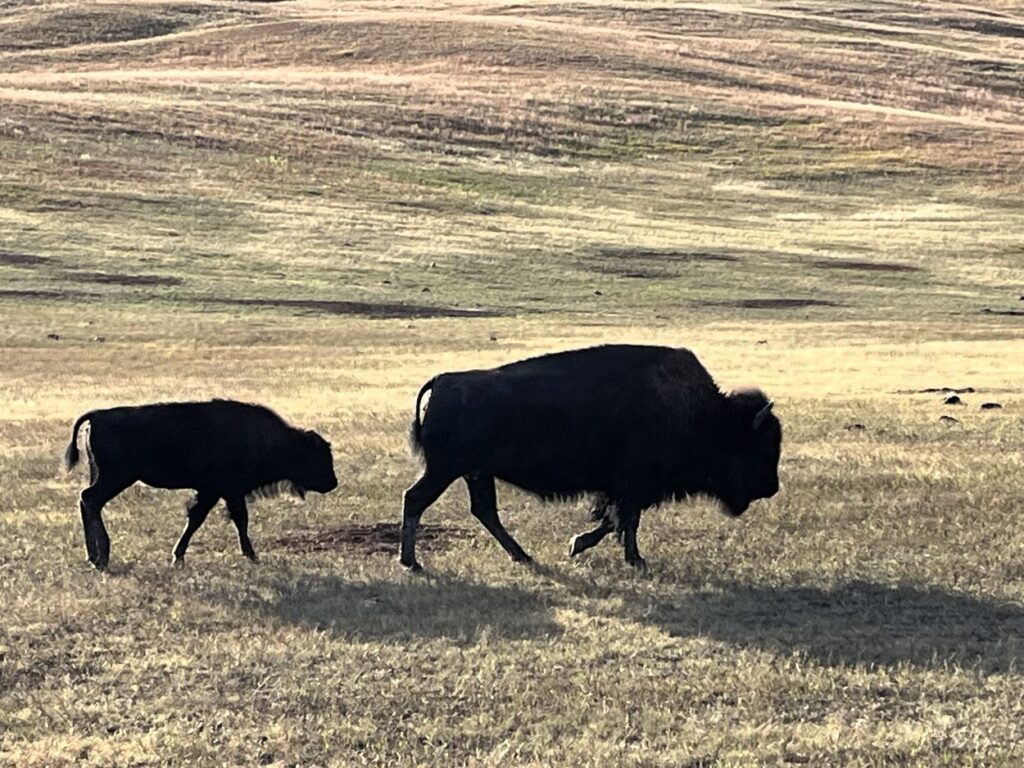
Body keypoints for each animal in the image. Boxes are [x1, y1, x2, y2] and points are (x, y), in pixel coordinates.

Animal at [64, 400, 337, 570]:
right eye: (319, 457)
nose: (333, 483)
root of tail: (97, 416)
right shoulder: (223, 491)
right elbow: (230, 519)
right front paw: (252, 556)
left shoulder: (219, 492)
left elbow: (205, 519)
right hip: (115, 478)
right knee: (90, 500)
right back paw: (102, 557)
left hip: (103, 476)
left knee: (87, 501)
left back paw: (93, 557)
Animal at [400, 344, 781, 571]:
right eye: (761, 447)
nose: (772, 488)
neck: (706, 415)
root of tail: (442, 381)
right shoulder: (632, 486)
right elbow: (624, 520)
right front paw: (625, 557)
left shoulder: (624, 489)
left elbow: (618, 520)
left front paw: (589, 547)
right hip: (445, 470)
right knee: (416, 500)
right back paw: (411, 563)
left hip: (475, 473)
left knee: (484, 512)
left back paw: (523, 557)